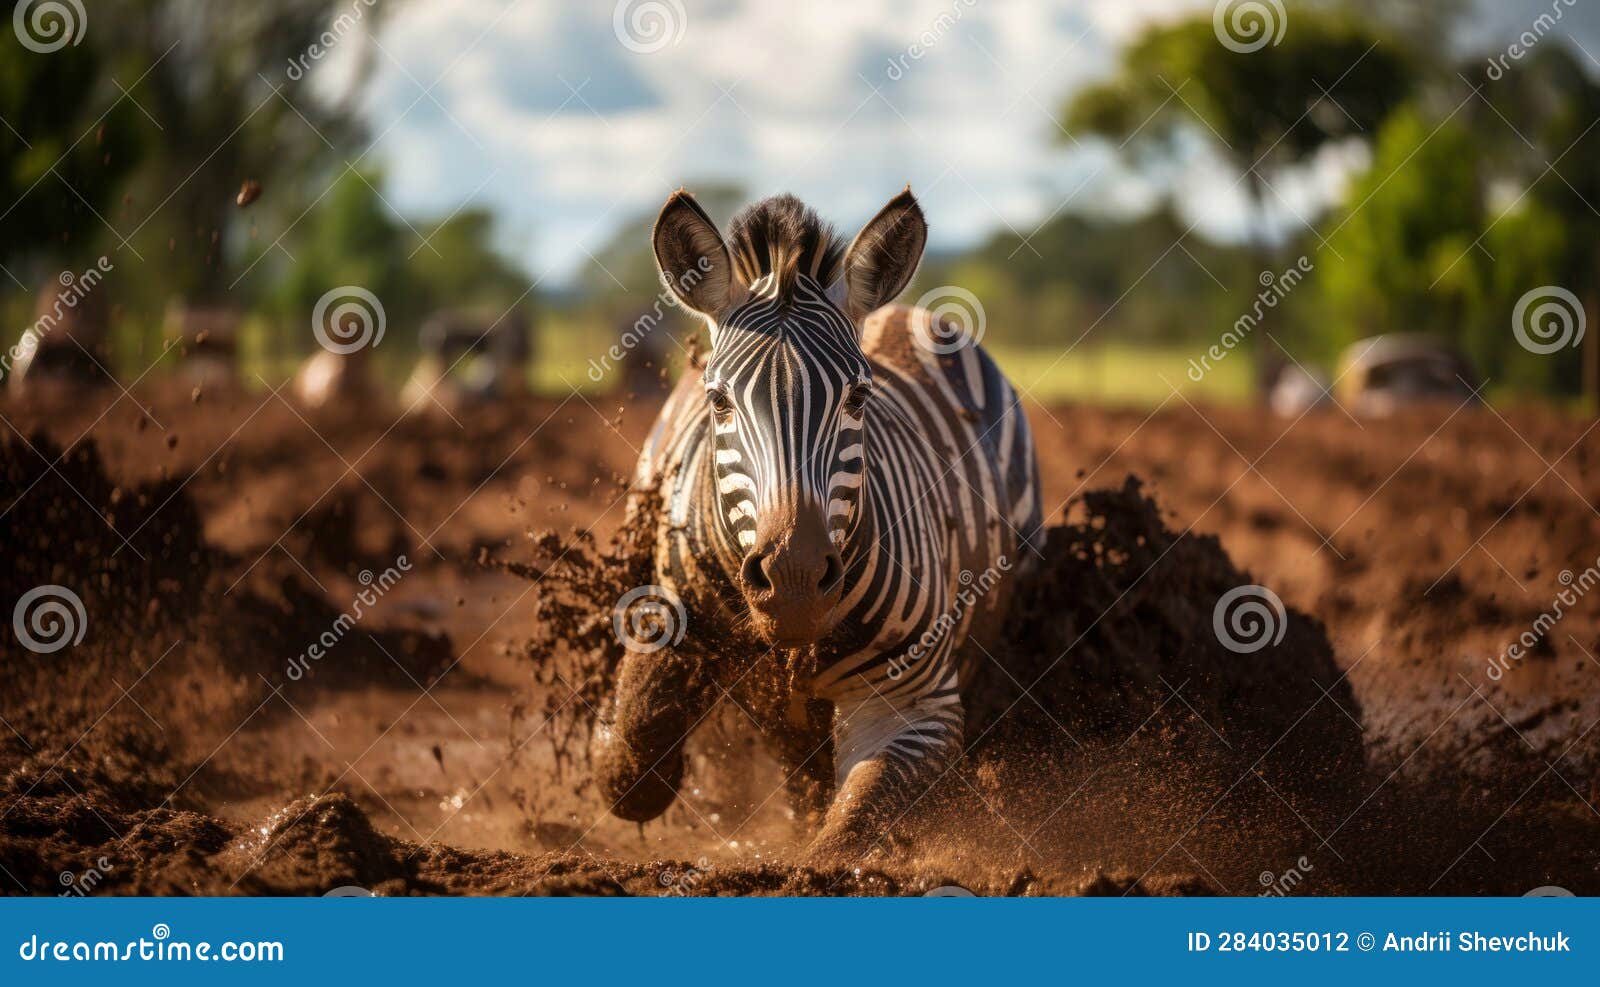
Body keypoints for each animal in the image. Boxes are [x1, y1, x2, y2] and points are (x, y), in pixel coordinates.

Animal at [595, 188, 1043, 857]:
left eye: (858, 398)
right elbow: (630, 760)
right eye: (718, 402)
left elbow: (847, 834)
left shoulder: (913, 705)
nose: (796, 581)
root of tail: (905, 311)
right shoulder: (668, 617)